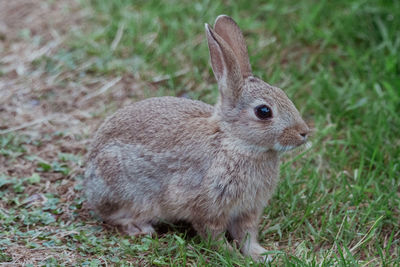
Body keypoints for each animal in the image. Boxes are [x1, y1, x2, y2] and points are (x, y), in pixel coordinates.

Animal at [84, 14, 310, 262]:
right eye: (263, 111)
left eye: (283, 93)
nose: (304, 133)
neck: (234, 142)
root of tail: (89, 174)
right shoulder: (206, 206)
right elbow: (214, 235)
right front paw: (232, 255)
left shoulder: (247, 210)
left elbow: (247, 235)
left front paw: (262, 254)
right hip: (121, 187)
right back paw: (139, 227)